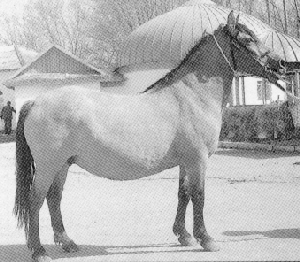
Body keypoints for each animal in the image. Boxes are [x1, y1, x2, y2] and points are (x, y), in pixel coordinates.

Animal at [15, 12, 288, 262]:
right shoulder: (198, 160)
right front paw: (206, 239)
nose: (282, 65)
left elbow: (183, 194)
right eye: (247, 39)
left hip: (63, 164)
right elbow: (199, 195)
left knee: (54, 198)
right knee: (35, 200)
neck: (192, 96)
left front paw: (183, 235)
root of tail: (35, 102)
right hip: (49, 165)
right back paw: (39, 251)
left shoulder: (186, 162)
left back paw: (67, 242)